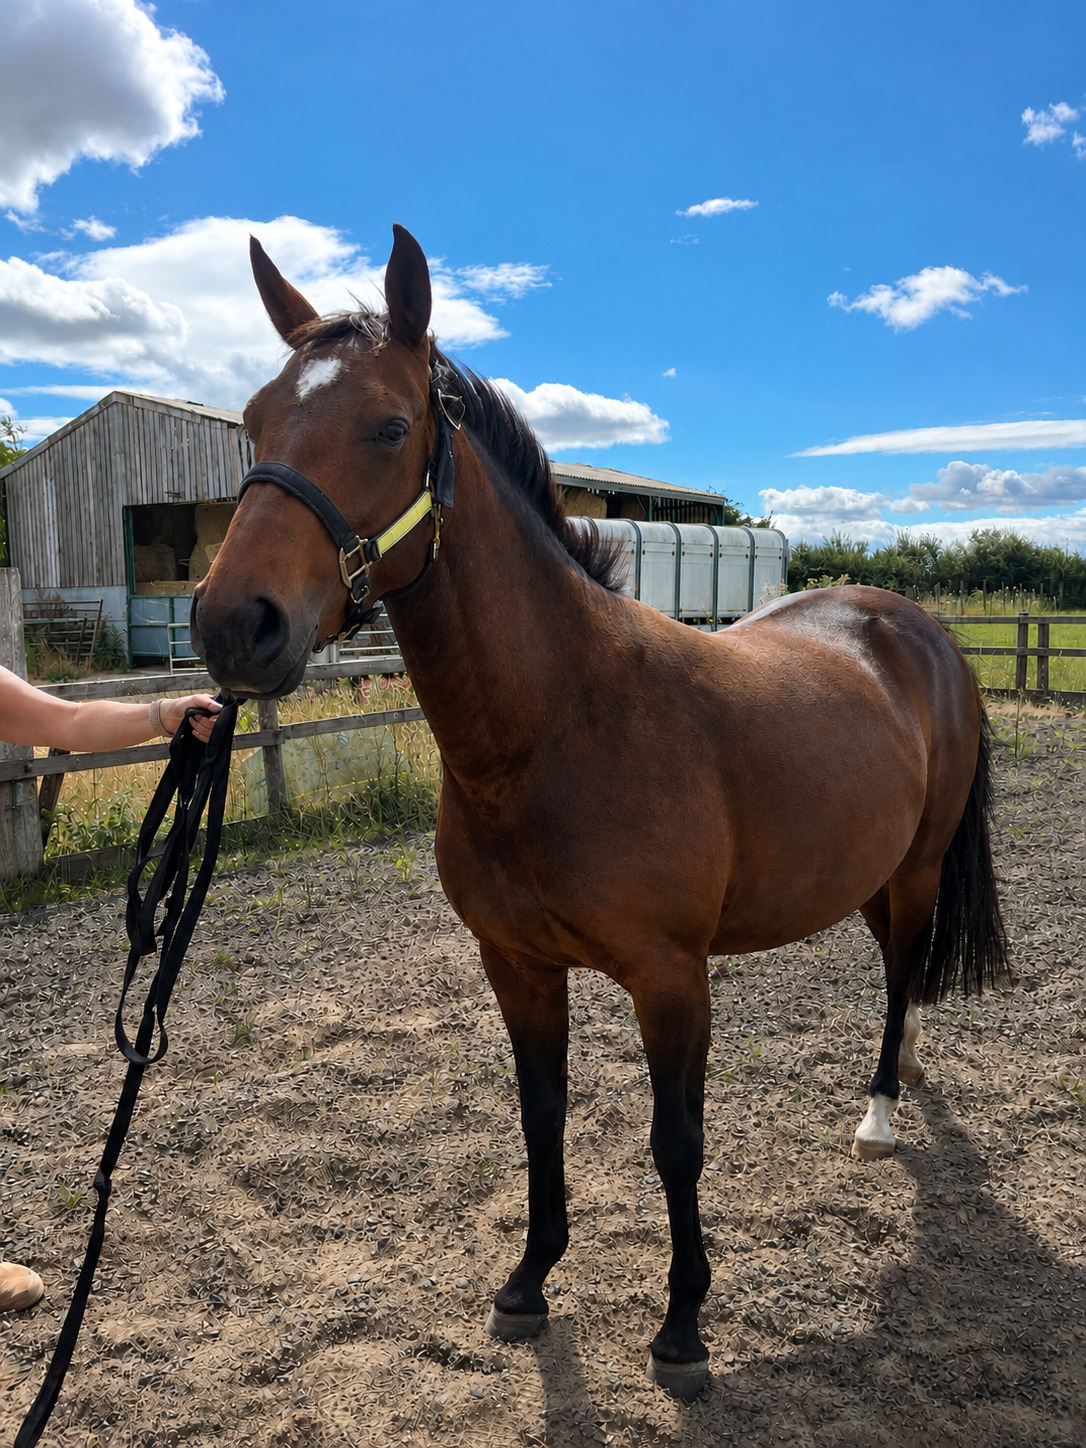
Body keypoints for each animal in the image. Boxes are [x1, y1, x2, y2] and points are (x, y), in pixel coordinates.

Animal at [190, 224, 1009, 1399]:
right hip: (862, 868)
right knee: (902, 967)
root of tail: (916, 626)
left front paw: (684, 1324)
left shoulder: (671, 979)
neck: (560, 725)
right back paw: (907, 1073)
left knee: (903, 967)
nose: (231, 624)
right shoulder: (517, 965)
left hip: (918, 863)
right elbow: (543, 1118)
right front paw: (530, 1279)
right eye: (255, 421)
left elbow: (677, 1142)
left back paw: (881, 1111)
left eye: (388, 425)